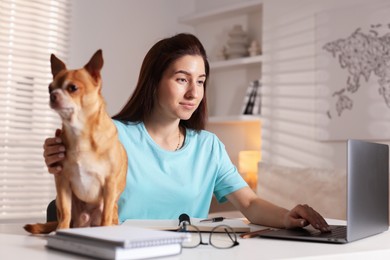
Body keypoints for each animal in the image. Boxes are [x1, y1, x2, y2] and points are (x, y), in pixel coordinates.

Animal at [24, 49, 127, 235]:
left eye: (73, 88)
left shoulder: (110, 184)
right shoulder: (62, 182)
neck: (79, 133)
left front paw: (106, 230)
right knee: (67, 216)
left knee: (108, 216)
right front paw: (60, 230)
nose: (53, 95)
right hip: (65, 201)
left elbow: (106, 215)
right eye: (49, 88)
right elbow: (65, 212)